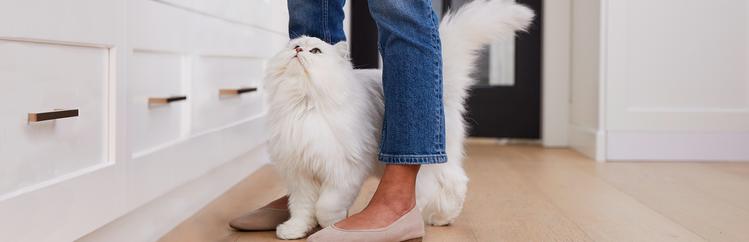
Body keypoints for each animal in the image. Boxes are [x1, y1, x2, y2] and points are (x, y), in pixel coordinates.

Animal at [262, 0, 532, 239]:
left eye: (315, 51)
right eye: (295, 45)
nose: (297, 51)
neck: (304, 104)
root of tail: (440, 89)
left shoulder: (343, 171)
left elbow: (325, 205)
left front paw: (331, 226)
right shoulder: (300, 175)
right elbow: (302, 209)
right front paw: (294, 231)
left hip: (431, 162)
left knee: (453, 182)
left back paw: (440, 218)